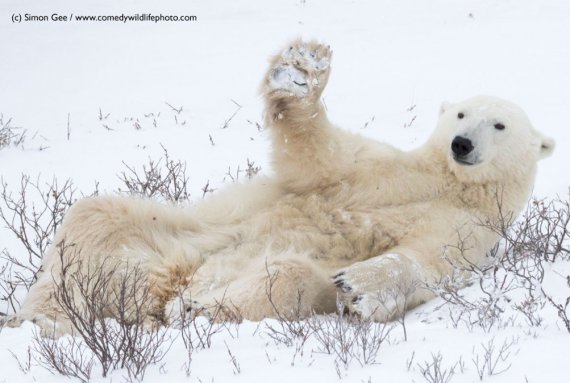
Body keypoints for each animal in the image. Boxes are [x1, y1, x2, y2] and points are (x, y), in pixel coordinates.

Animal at [1, 39, 552, 336]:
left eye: (499, 124)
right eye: (460, 114)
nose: (461, 144)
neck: (445, 181)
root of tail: (163, 285)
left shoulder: (469, 229)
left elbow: (425, 262)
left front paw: (357, 285)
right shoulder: (376, 170)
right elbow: (316, 156)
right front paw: (302, 68)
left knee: (288, 278)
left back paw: (191, 306)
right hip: (179, 234)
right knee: (94, 218)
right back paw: (44, 318)